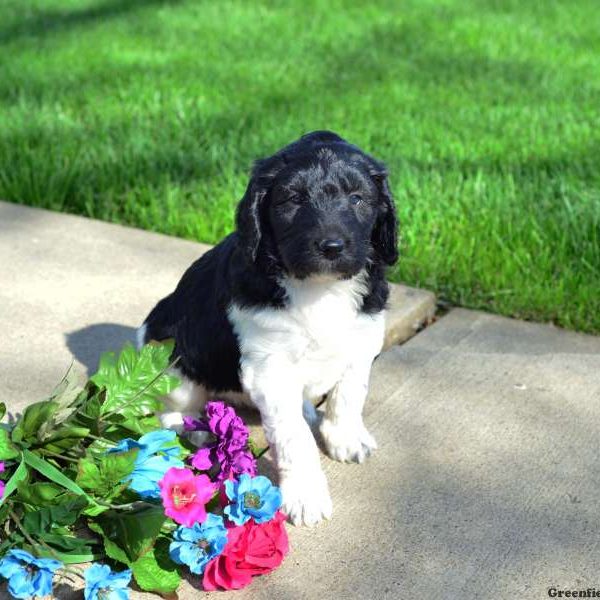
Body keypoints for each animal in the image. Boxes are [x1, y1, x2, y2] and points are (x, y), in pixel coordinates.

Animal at [137, 131, 398, 524]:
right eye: (292, 199)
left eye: (357, 198)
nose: (332, 246)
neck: (318, 288)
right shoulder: (269, 367)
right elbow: (294, 436)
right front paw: (306, 495)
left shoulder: (362, 337)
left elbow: (350, 394)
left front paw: (346, 439)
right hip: (174, 363)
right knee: (171, 407)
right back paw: (193, 429)